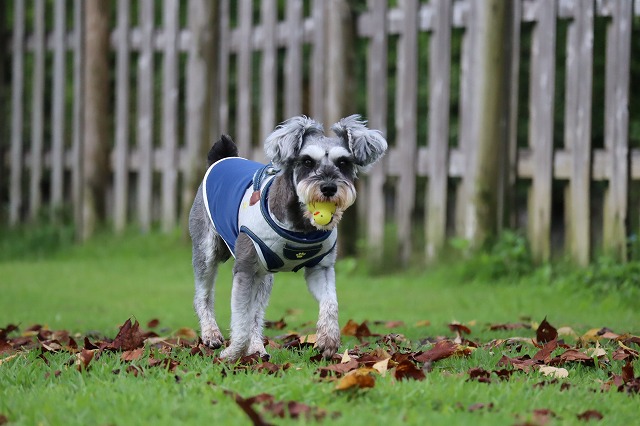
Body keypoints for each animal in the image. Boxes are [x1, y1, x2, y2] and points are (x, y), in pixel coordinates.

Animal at [189, 115, 387, 361]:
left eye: (343, 162)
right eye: (307, 161)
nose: (328, 187)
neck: (301, 227)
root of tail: (223, 158)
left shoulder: (320, 269)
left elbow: (330, 303)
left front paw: (328, 339)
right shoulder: (244, 269)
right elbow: (240, 319)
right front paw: (232, 353)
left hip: (264, 275)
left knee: (256, 314)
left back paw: (257, 348)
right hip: (206, 253)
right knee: (203, 296)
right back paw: (211, 335)